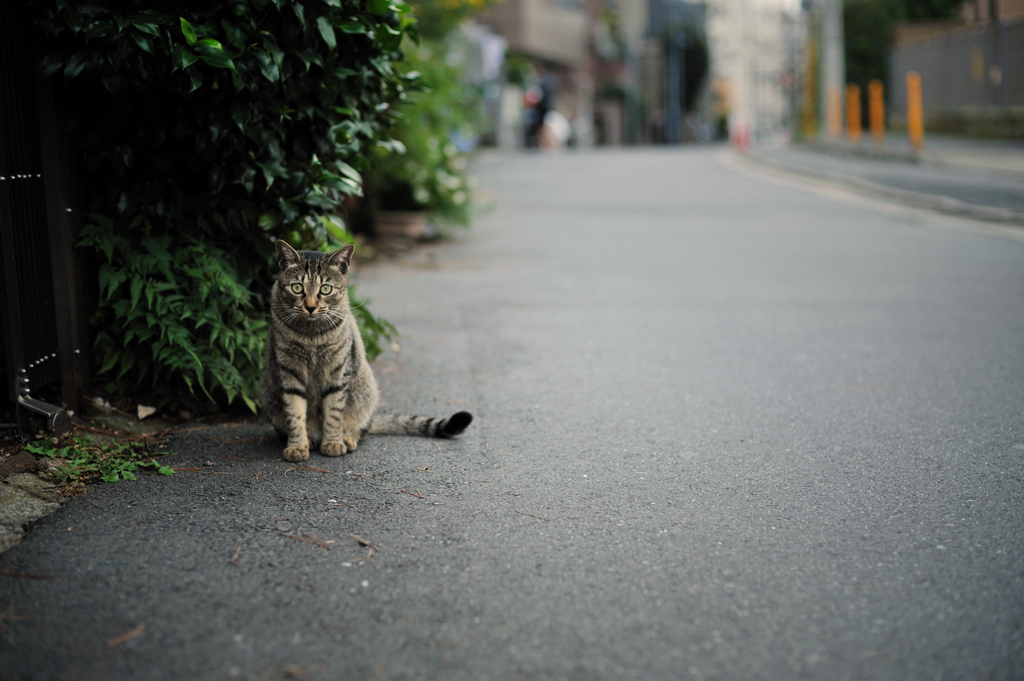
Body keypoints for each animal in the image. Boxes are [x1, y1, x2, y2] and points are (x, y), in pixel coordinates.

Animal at [260, 240, 475, 462]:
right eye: (297, 287)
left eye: (326, 289)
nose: (310, 307)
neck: (311, 335)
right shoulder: (289, 372)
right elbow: (295, 414)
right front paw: (297, 446)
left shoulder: (338, 371)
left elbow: (334, 412)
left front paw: (333, 442)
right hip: (268, 397)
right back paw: (310, 438)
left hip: (366, 392)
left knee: (361, 429)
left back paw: (346, 438)